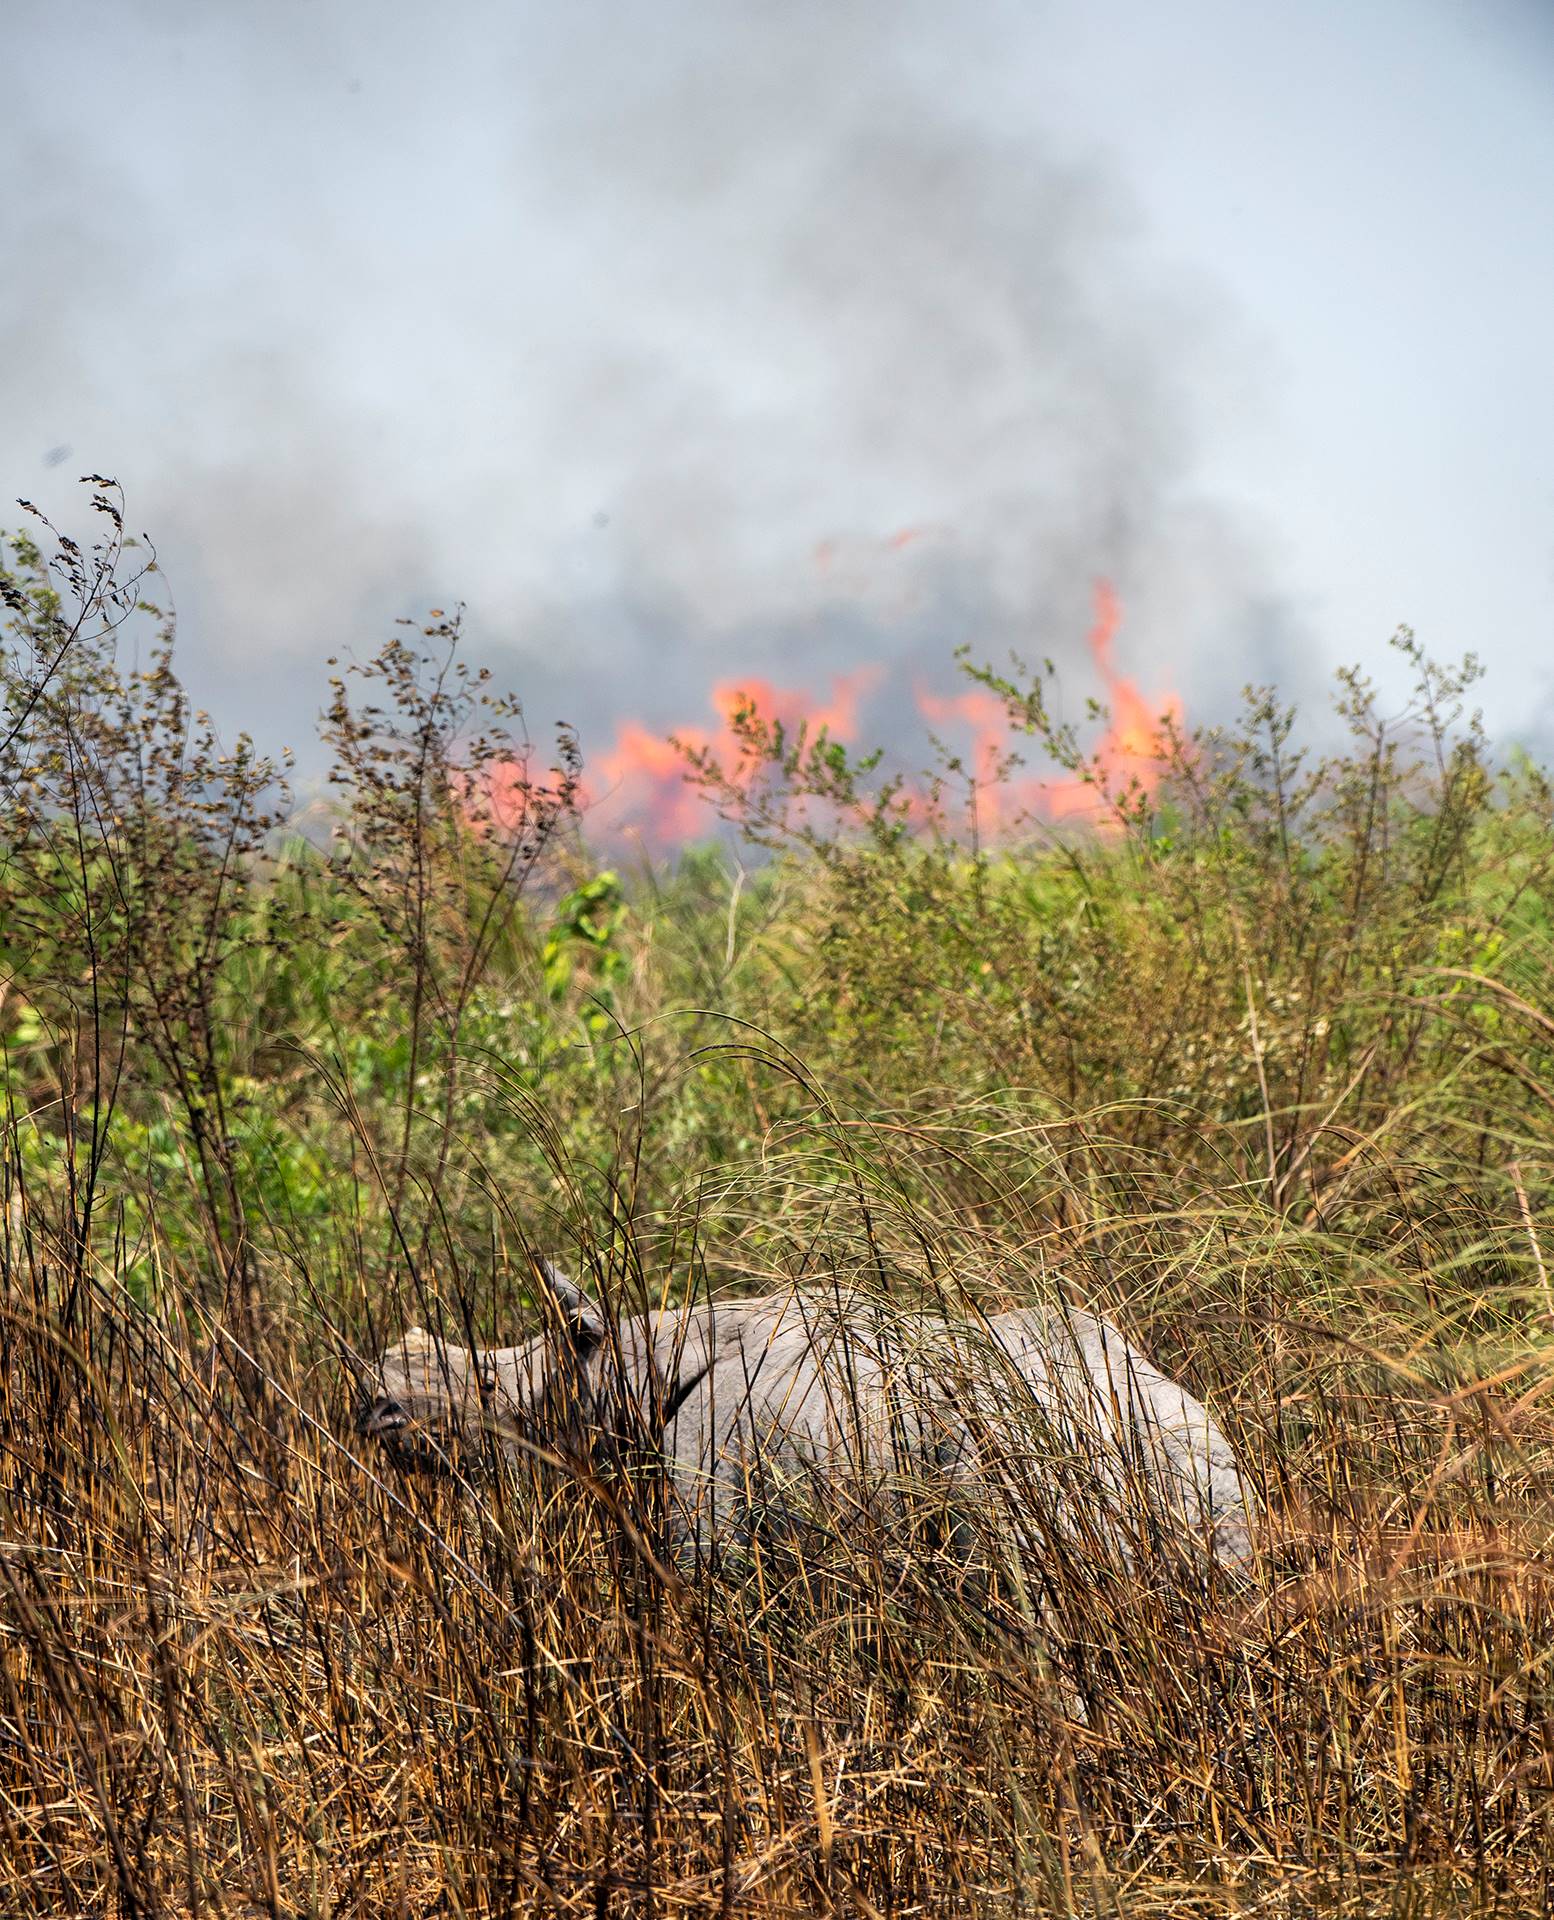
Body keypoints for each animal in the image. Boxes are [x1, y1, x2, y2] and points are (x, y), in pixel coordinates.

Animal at [356, 1266, 1254, 1570]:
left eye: (488, 1391)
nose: (375, 1408)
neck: (631, 1364)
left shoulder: (709, 1495)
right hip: (1199, 1473)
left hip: (1011, 1484)